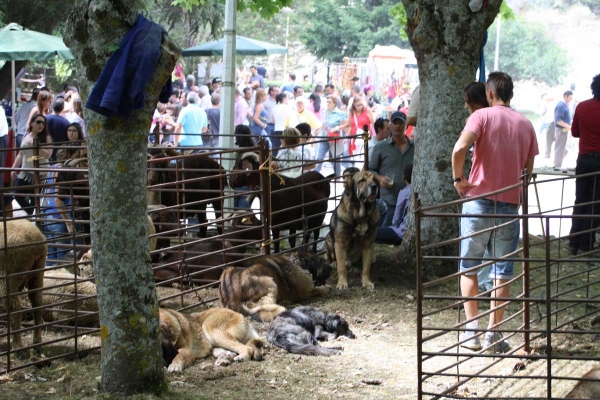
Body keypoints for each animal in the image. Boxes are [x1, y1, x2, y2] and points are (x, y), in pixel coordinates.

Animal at [0, 220, 45, 348]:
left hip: (9, 276)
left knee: (15, 310)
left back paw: (17, 345)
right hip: (37, 273)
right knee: (37, 302)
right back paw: (37, 340)